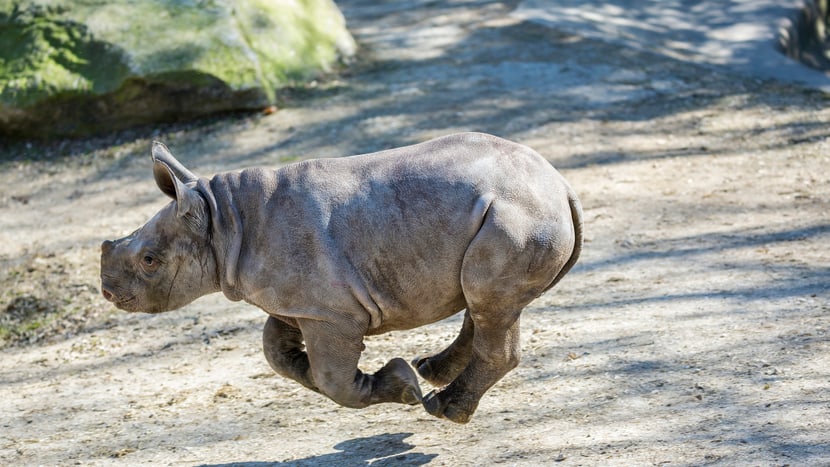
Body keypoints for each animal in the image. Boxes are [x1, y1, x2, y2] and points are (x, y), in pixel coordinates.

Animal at [101, 133, 584, 424]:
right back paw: (432, 371)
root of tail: (561, 186)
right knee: (484, 302)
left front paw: (401, 386)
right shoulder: (298, 302)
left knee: (489, 303)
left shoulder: (329, 311)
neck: (221, 221)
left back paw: (443, 407)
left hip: (517, 217)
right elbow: (276, 353)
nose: (107, 291)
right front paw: (310, 371)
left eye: (149, 260)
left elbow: (334, 378)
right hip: (507, 215)